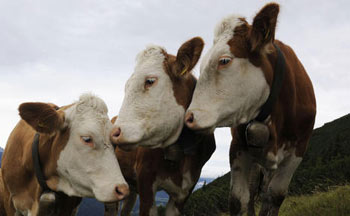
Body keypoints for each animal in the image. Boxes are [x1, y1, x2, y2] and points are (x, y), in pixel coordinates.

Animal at [186, 3, 318, 216]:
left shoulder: (299, 149)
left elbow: (275, 196)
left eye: (224, 60)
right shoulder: (238, 148)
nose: (189, 117)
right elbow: (238, 199)